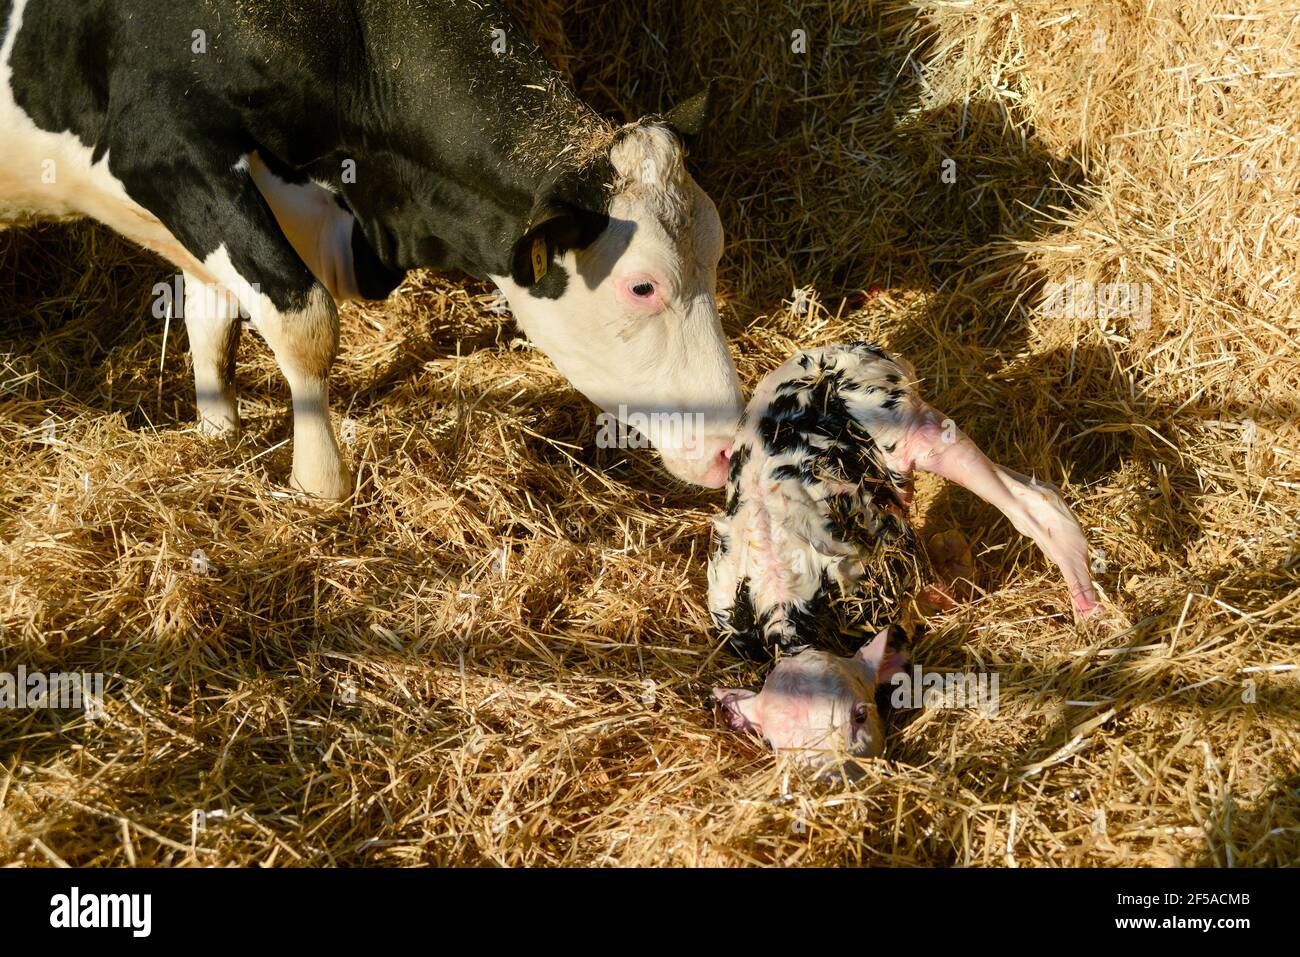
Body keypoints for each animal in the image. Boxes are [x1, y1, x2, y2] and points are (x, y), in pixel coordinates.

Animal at [0, 0, 745, 498]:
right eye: (641, 286)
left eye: (716, 254)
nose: (729, 450)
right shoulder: (162, 148)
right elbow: (305, 320)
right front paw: (319, 481)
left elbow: (213, 315)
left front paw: (219, 433)